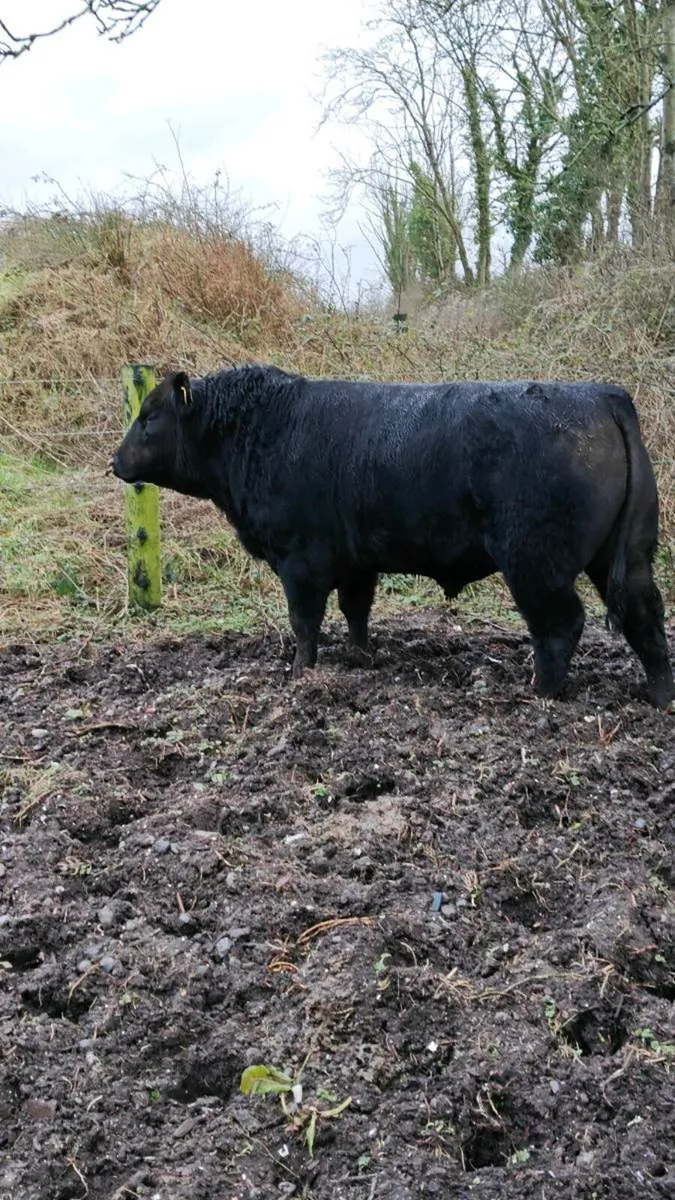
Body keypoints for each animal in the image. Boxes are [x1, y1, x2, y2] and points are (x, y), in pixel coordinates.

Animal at [111, 365, 674, 708]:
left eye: (150, 417)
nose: (114, 461)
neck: (262, 430)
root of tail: (603, 395)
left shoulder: (301, 560)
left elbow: (304, 622)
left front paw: (300, 674)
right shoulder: (357, 561)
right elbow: (356, 611)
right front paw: (362, 658)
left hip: (536, 563)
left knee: (560, 625)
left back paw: (540, 691)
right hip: (624, 555)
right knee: (645, 614)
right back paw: (659, 695)